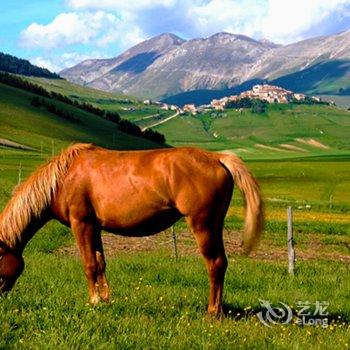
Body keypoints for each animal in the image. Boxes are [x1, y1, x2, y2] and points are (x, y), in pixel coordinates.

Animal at [0, 144, 262, 314]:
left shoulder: (81, 224)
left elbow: (88, 265)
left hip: (203, 225)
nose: (2, 299)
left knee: (215, 264)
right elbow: (100, 263)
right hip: (214, 225)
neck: (64, 177)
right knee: (222, 263)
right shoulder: (95, 227)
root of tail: (217, 157)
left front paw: (94, 301)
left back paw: (212, 311)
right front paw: (106, 300)